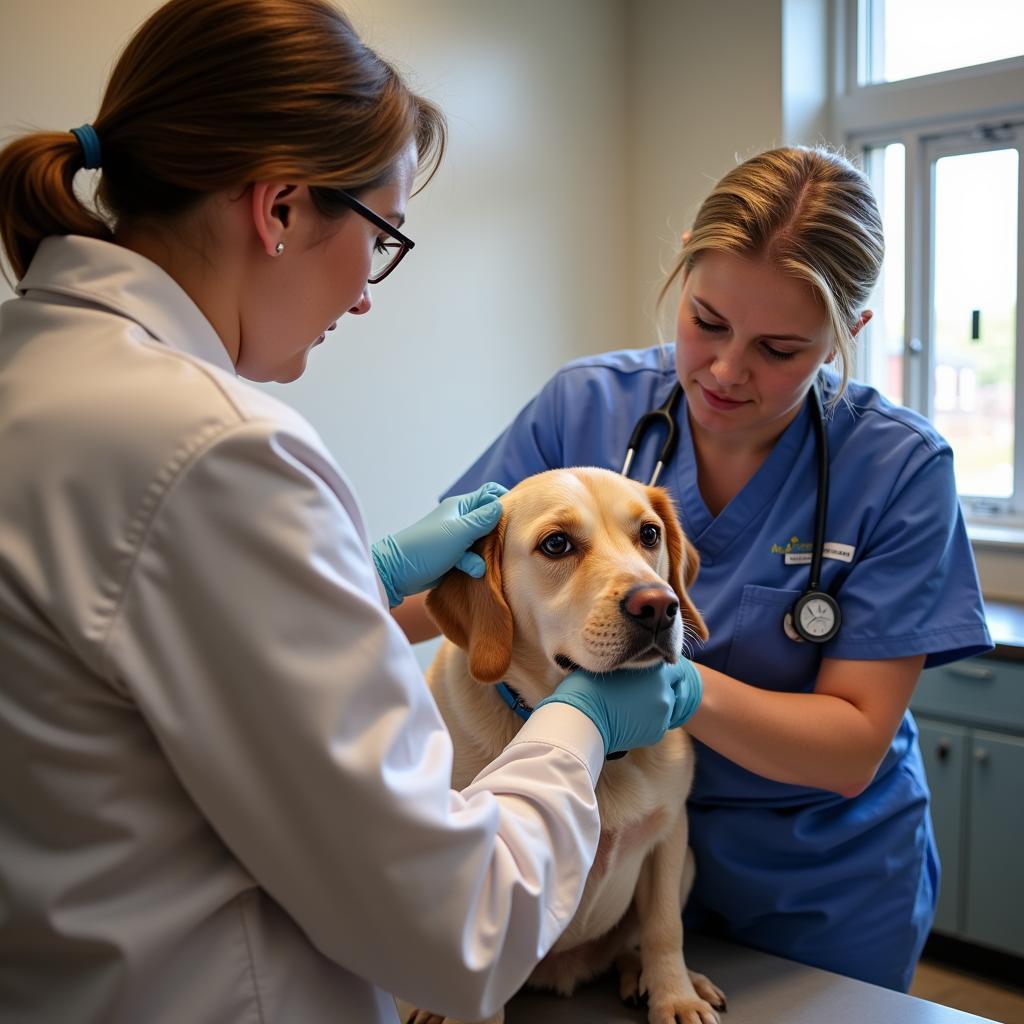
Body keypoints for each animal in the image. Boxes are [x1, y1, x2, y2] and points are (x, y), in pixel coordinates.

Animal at [403, 468, 724, 1024]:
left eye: (649, 534)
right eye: (557, 544)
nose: (659, 606)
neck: (603, 745)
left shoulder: (669, 837)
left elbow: (665, 927)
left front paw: (675, 995)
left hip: (687, 864)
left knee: (631, 942)